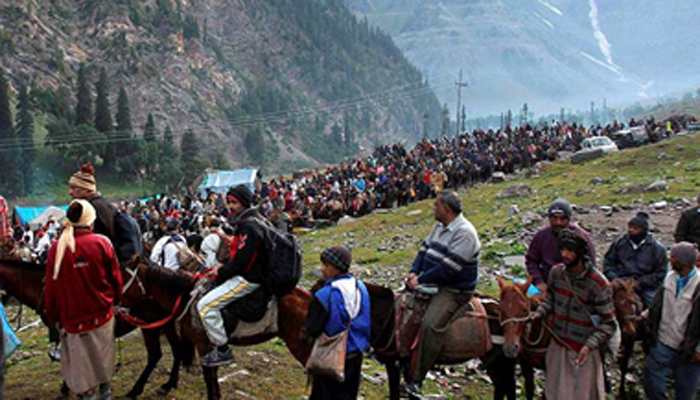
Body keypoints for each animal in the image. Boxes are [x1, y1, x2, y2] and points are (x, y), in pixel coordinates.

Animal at [0, 258, 191, 398]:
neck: (44, 288)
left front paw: (68, 388)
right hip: (164, 324)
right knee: (176, 349)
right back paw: (168, 385)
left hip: (149, 326)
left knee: (155, 354)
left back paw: (136, 390)